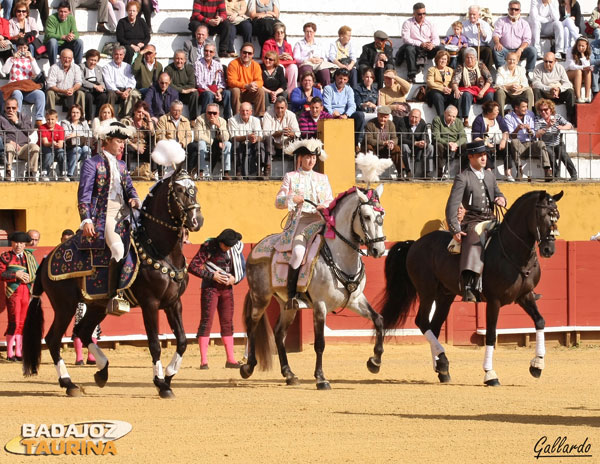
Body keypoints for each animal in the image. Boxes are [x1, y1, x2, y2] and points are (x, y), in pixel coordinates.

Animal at [22, 169, 204, 396]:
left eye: (195, 188)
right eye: (179, 190)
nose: (197, 220)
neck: (160, 250)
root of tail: (47, 257)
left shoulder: (173, 303)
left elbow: (182, 341)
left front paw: (169, 376)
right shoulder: (150, 304)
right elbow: (154, 343)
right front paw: (161, 384)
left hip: (96, 306)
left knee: (82, 331)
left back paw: (102, 372)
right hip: (65, 306)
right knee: (53, 339)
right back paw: (69, 383)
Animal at [380, 190, 564, 386]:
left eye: (557, 215)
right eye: (542, 215)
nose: (549, 249)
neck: (512, 252)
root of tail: (415, 243)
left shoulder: (525, 295)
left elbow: (540, 321)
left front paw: (537, 365)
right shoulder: (494, 301)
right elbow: (491, 334)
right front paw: (490, 374)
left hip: (445, 296)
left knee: (434, 326)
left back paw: (442, 368)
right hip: (427, 292)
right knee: (422, 322)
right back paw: (441, 363)